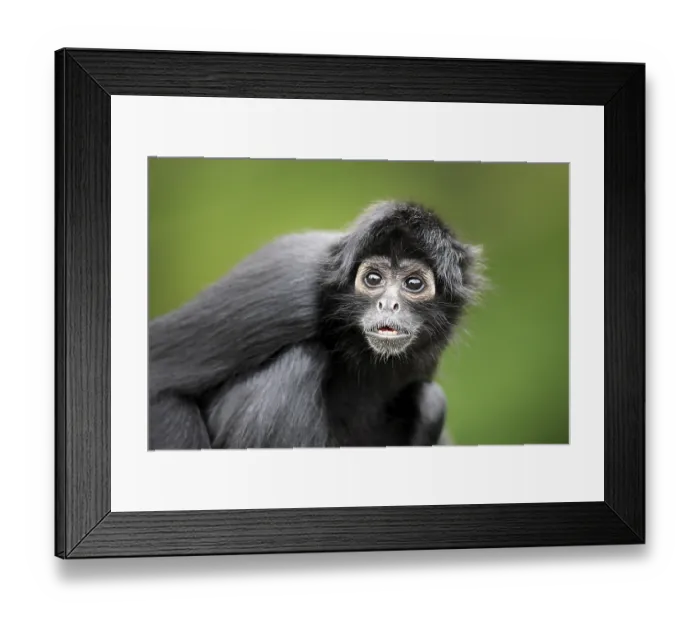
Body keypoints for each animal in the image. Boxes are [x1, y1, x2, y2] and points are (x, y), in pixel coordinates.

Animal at [148, 200, 484, 449]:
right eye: (373, 279)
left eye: (413, 283)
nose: (388, 304)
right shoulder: (291, 291)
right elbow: (161, 386)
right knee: (301, 362)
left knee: (431, 403)